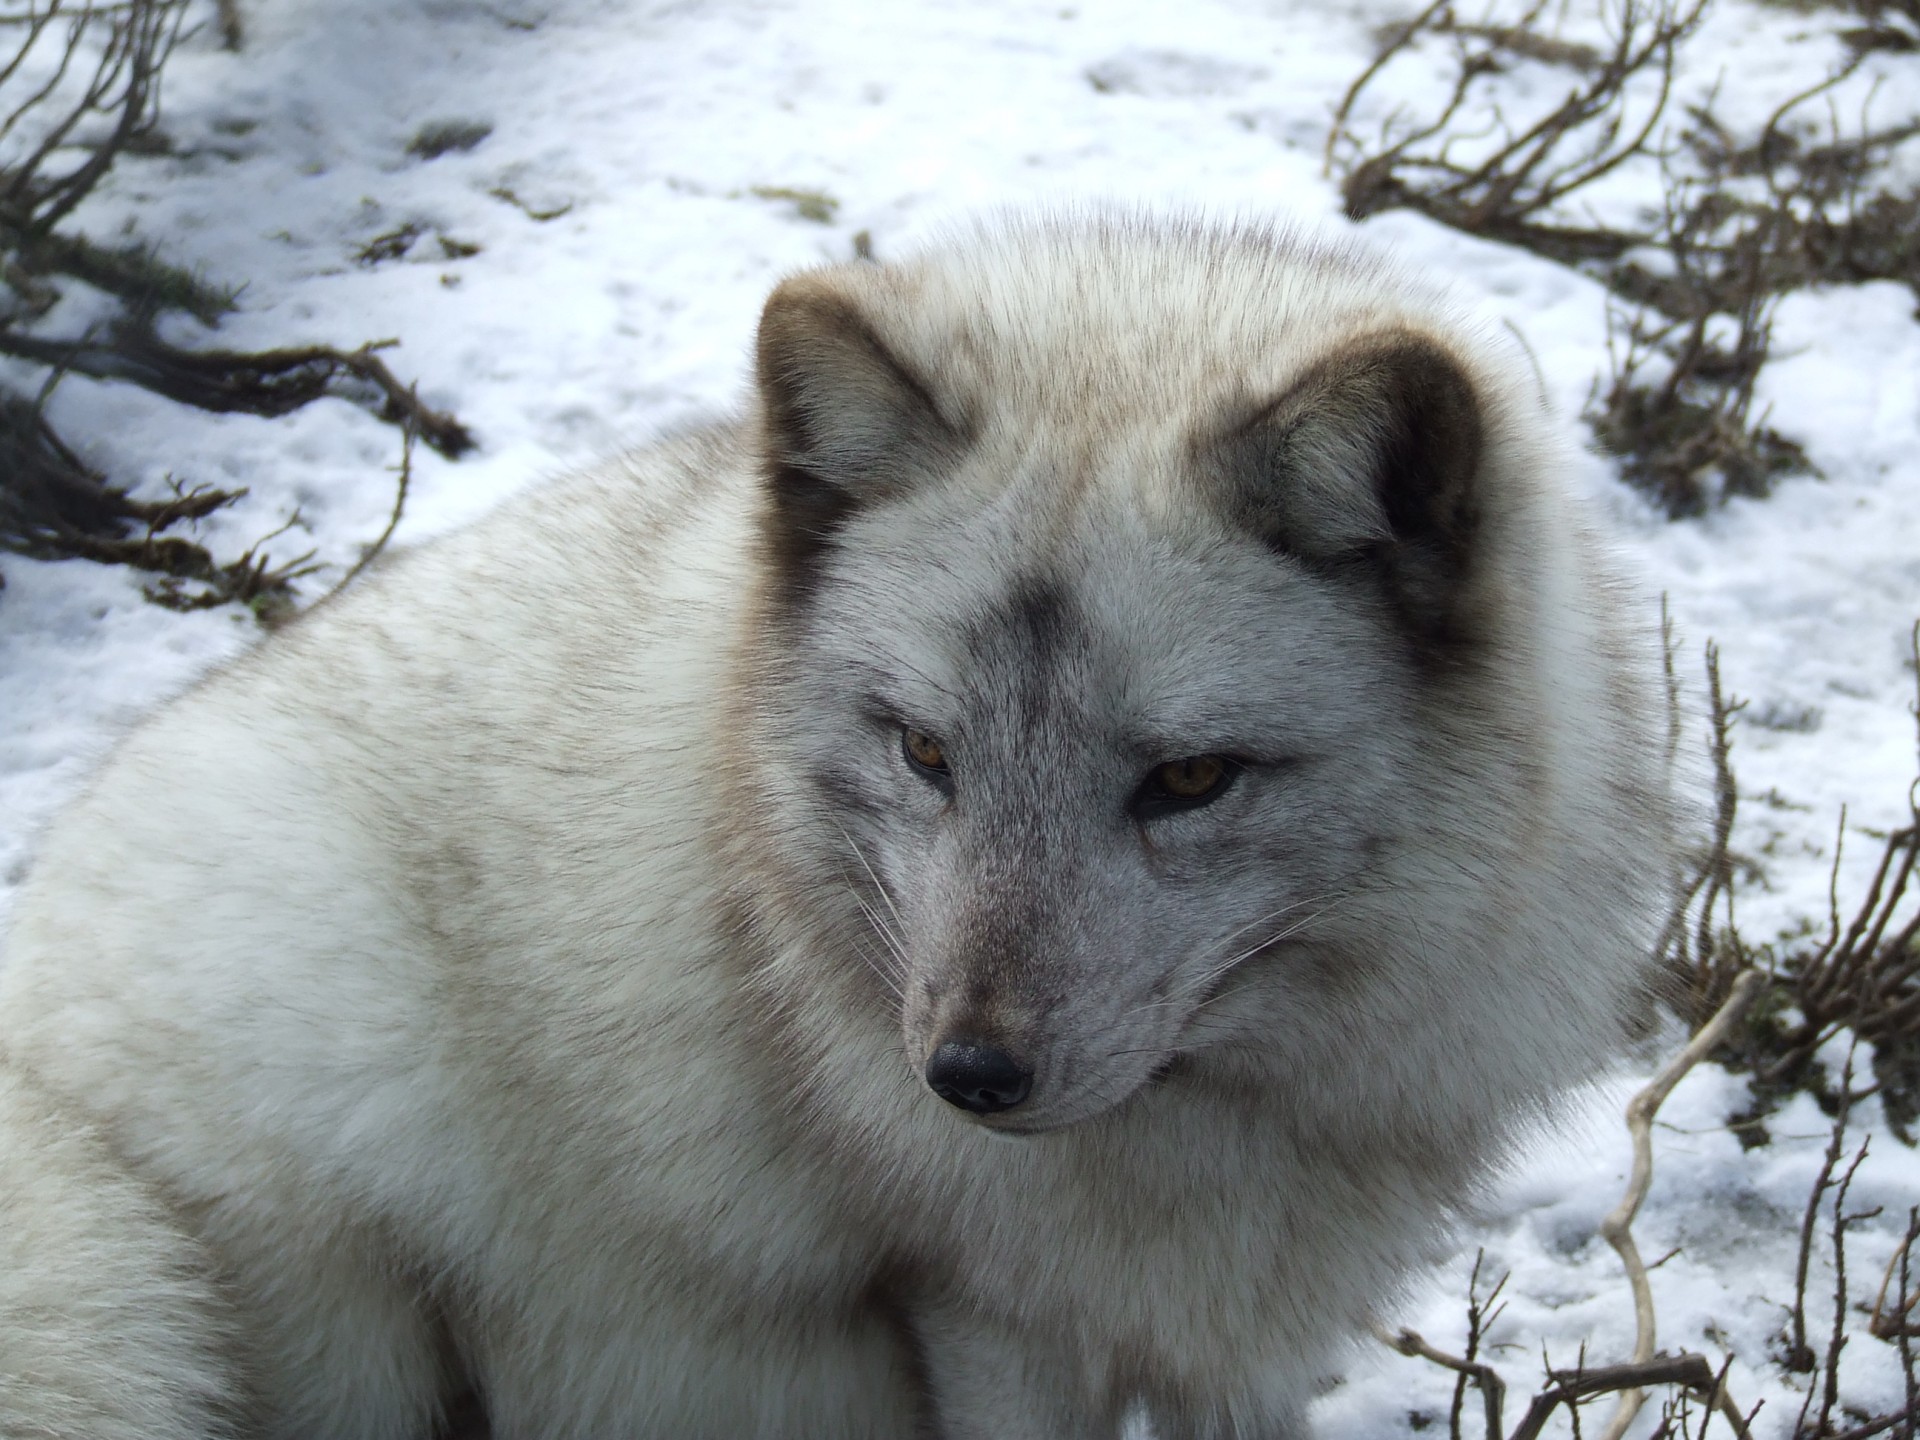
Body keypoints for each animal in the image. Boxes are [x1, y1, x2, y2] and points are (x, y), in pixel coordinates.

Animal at [0, 216, 1666, 1440]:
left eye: (1190, 781)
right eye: (924, 752)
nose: (968, 1078)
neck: (1227, 1117)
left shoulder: (1227, 1337)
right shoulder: (980, 1317)